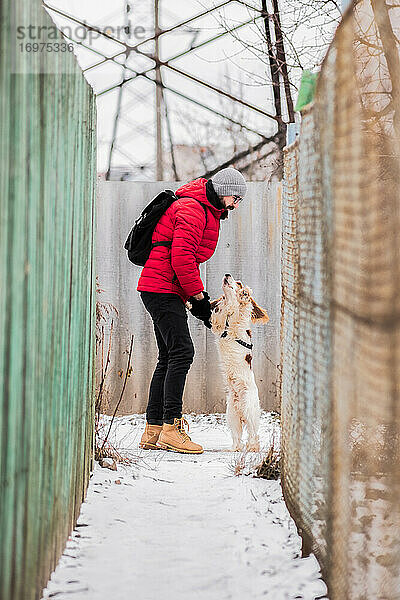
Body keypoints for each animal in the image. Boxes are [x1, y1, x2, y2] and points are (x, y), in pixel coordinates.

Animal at [209, 274, 268, 452]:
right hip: (232, 415)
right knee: (237, 439)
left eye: (239, 282)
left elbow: (240, 308)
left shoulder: (238, 321)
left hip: (249, 408)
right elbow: (219, 316)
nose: (227, 275)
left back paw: (252, 448)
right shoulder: (219, 326)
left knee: (253, 435)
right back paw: (233, 449)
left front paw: (244, 294)